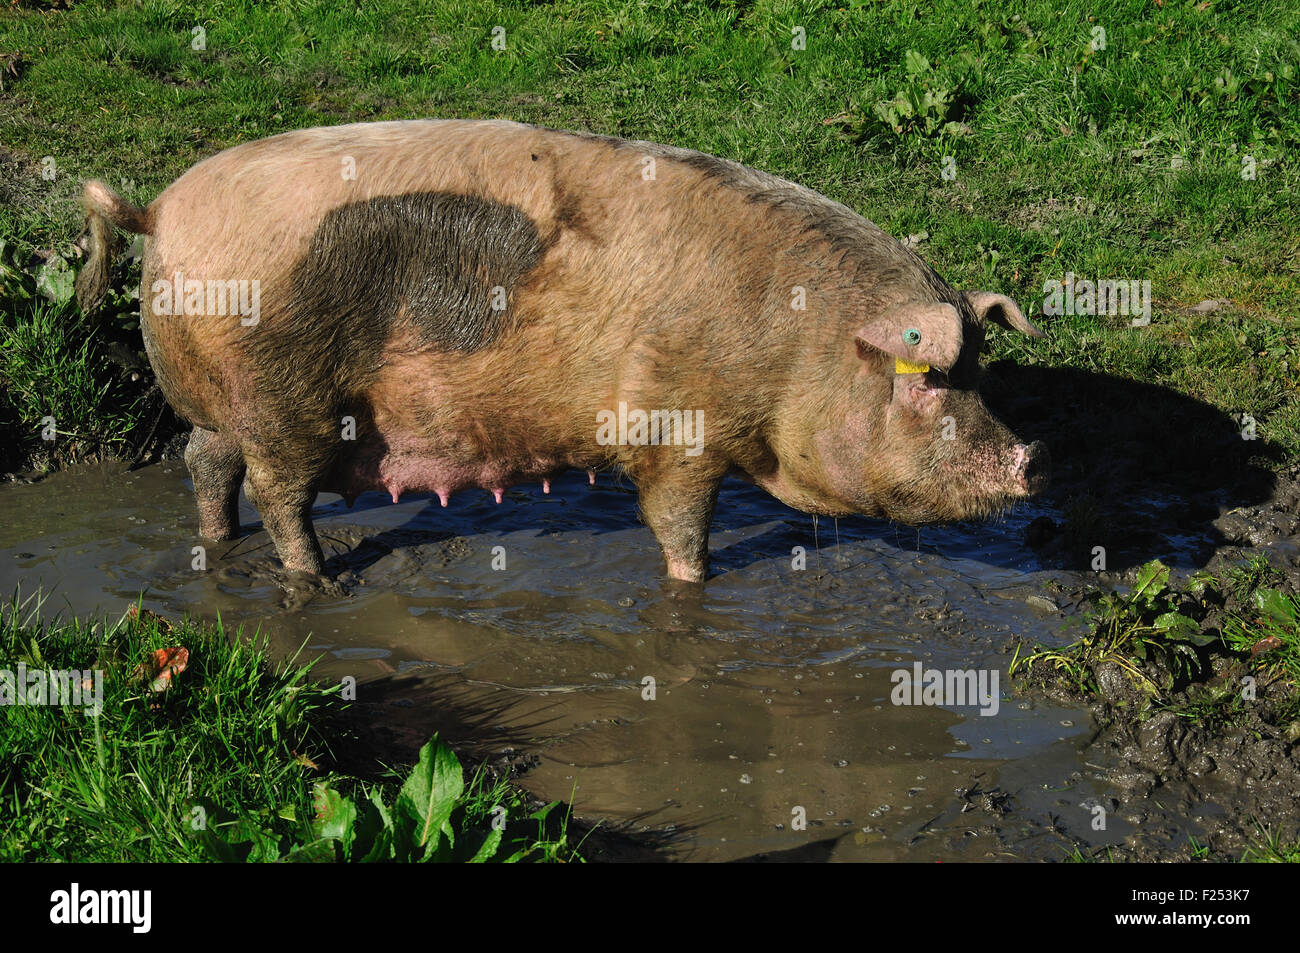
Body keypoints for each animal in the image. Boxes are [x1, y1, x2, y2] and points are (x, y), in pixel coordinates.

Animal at [76, 118, 1045, 579]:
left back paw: (220, 546)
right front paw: (694, 588)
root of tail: (158, 210)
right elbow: (679, 527)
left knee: (205, 462)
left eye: (978, 373)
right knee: (278, 492)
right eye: (927, 381)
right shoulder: (674, 428)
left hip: (226, 398)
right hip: (287, 401)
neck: (794, 340)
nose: (1029, 459)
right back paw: (318, 582)